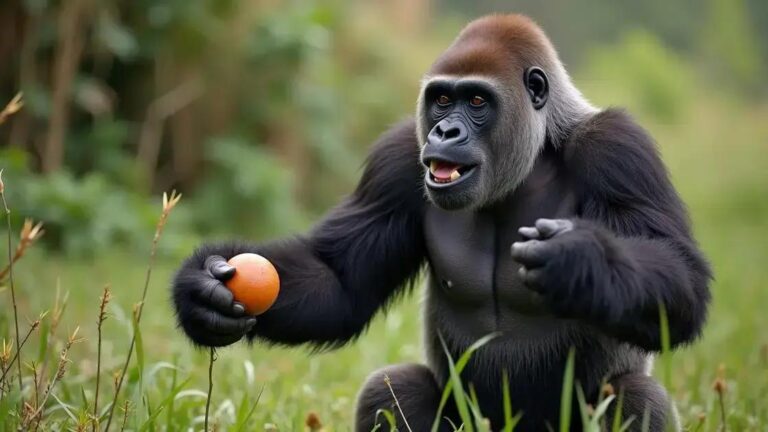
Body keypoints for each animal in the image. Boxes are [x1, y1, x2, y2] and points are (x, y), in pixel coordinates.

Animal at [171, 14, 711, 431]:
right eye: (442, 100)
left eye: (476, 102)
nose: (444, 132)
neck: (538, 148)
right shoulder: (397, 158)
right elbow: (340, 282)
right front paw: (201, 289)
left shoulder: (620, 150)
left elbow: (682, 282)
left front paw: (582, 260)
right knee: (391, 389)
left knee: (637, 397)